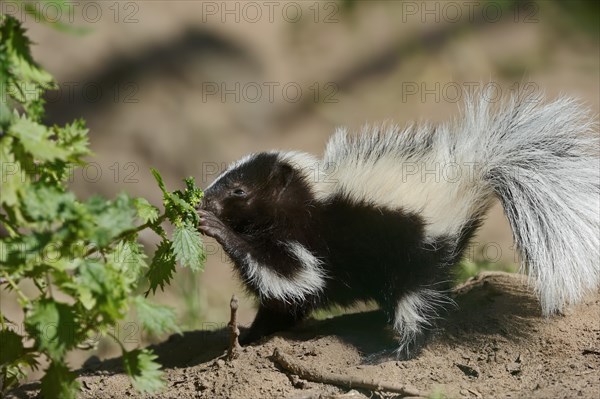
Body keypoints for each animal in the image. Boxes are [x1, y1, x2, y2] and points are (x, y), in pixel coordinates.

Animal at [196, 94, 596, 360]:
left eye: (239, 190)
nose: (203, 200)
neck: (311, 199)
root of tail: (467, 179)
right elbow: (285, 301)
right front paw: (251, 335)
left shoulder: (311, 240)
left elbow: (294, 278)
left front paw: (217, 228)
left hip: (417, 254)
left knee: (419, 305)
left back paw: (394, 352)